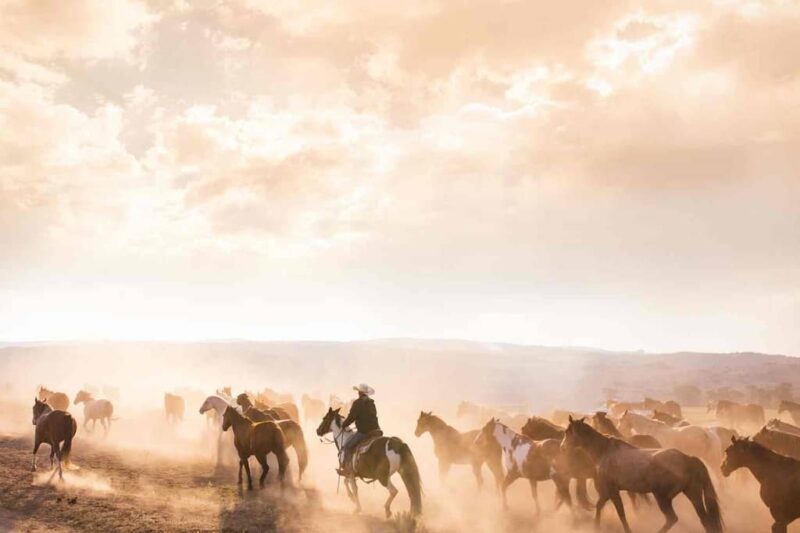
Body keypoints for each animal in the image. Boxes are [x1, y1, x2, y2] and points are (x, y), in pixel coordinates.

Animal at [564, 416, 724, 532]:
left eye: (567, 432)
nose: (562, 447)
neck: (604, 452)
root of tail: (688, 458)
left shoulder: (613, 491)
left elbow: (621, 513)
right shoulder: (607, 492)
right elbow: (599, 506)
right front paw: (596, 526)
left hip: (663, 497)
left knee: (672, 519)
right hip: (693, 494)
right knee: (705, 520)